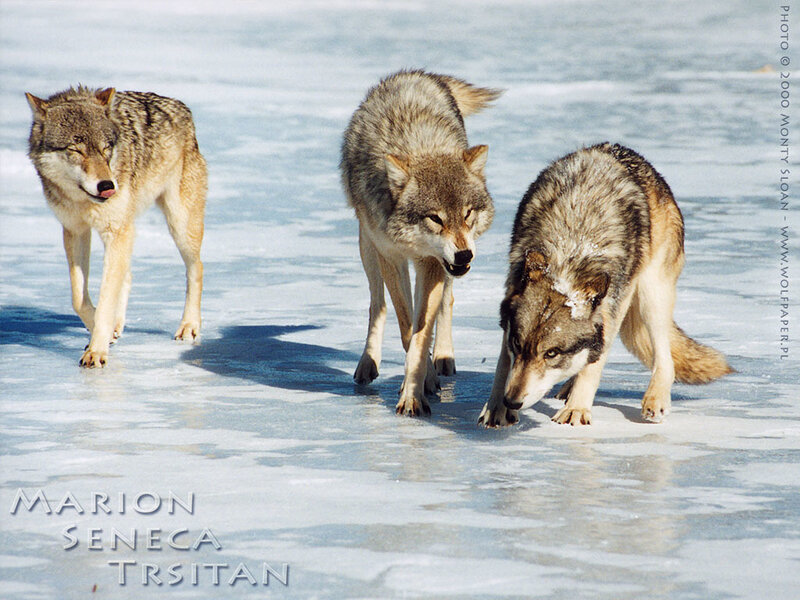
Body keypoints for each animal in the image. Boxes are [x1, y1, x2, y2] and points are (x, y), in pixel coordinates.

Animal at [26, 86, 207, 367]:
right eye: (76, 150)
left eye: (105, 148)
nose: (107, 186)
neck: (82, 200)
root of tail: (181, 106)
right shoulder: (75, 231)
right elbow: (79, 298)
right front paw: (103, 332)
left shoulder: (116, 230)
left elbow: (105, 299)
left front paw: (97, 350)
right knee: (127, 275)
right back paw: (118, 325)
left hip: (179, 225)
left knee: (196, 268)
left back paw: (189, 326)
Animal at [341, 70, 500, 416]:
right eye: (435, 218)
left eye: (467, 213)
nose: (465, 255)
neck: (419, 144)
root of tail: (415, 73)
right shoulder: (392, 255)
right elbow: (406, 326)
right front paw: (420, 385)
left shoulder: (433, 263)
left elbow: (422, 330)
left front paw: (415, 392)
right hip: (367, 248)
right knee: (378, 304)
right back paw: (367, 364)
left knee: (446, 304)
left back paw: (442, 358)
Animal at [478, 143, 732, 427]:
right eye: (517, 344)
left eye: (552, 353)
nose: (512, 400)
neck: (571, 248)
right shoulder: (511, 300)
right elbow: (503, 365)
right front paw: (496, 407)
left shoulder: (614, 305)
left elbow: (594, 364)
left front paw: (576, 410)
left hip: (650, 295)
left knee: (663, 356)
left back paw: (655, 399)